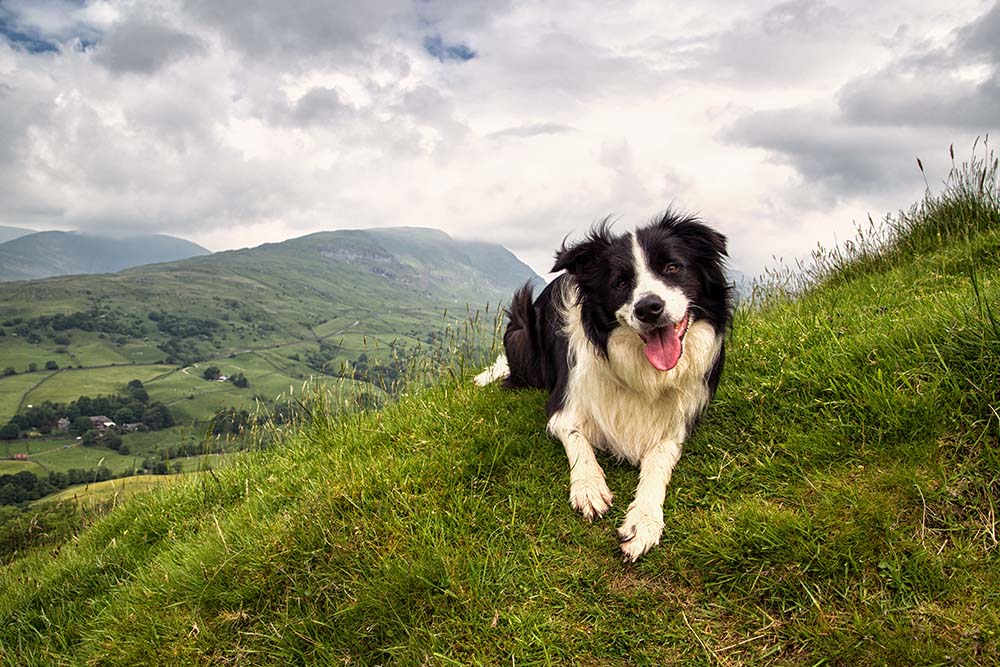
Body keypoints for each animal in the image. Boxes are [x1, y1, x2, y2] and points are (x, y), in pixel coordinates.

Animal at [472, 211, 732, 560]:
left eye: (672, 267)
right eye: (620, 283)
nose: (648, 308)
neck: (641, 370)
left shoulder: (677, 423)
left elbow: (658, 464)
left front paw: (644, 519)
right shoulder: (564, 406)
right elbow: (578, 441)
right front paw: (589, 487)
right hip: (520, 332)